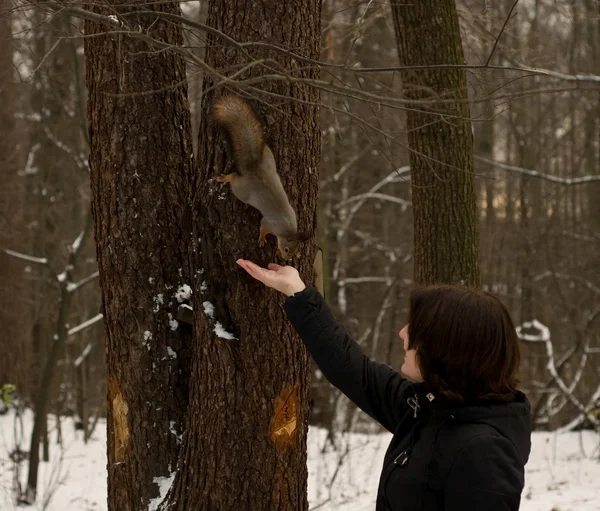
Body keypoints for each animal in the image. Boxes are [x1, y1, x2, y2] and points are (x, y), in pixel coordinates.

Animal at [212, 95, 310, 262]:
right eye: (287, 249)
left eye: (295, 250)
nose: (286, 259)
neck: (286, 230)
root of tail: (254, 168)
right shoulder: (269, 223)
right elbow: (263, 228)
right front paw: (262, 239)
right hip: (241, 190)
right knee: (234, 179)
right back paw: (226, 178)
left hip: (268, 157)